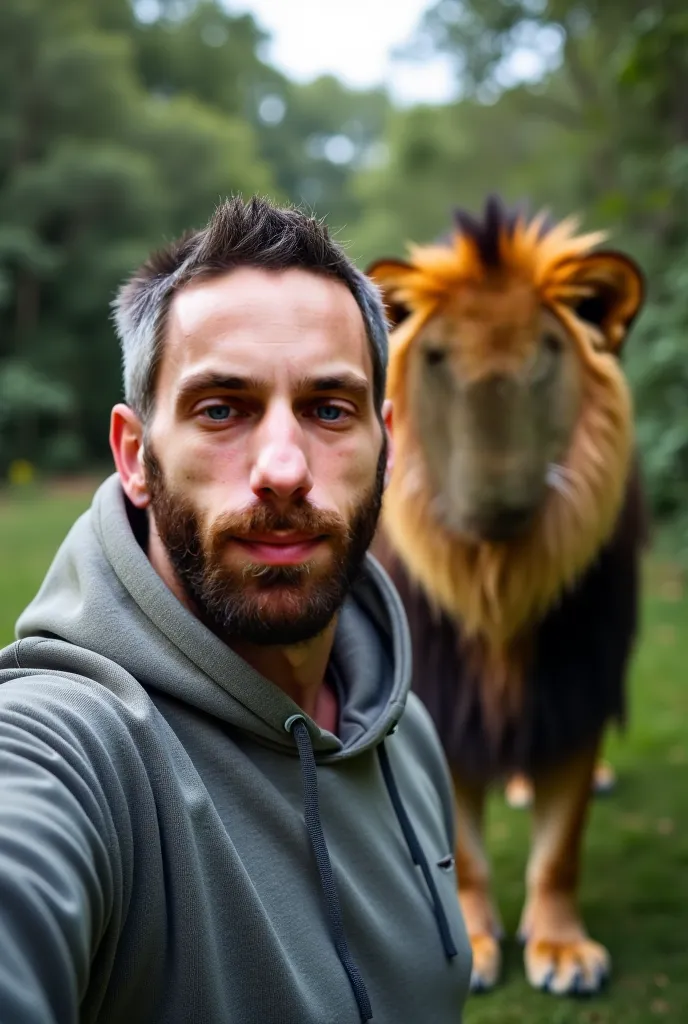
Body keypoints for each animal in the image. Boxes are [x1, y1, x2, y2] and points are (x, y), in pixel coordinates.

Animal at [368, 195, 647, 995]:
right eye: (437, 358)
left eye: (544, 352)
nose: (494, 498)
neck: (498, 583)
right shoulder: (440, 692)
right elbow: (460, 842)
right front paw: (476, 942)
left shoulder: (576, 680)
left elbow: (561, 846)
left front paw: (562, 949)